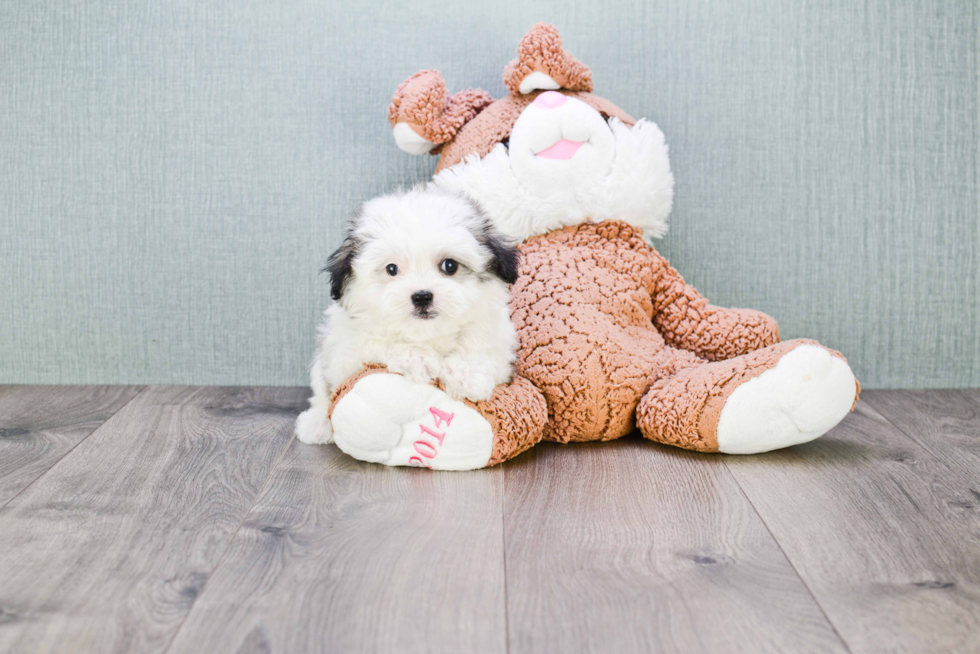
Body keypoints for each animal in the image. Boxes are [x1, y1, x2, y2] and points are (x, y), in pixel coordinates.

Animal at [294, 187, 520, 448]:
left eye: (450, 265)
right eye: (392, 269)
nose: (422, 297)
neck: (428, 335)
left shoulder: (497, 347)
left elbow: (480, 354)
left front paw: (467, 376)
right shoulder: (345, 353)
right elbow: (377, 342)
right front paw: (417, 358)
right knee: (321, 397)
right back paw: (316, 424)